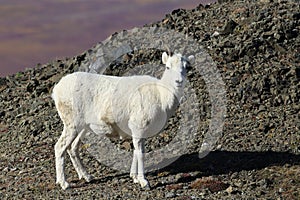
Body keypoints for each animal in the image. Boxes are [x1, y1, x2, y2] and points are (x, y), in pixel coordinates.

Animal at [52, 50, 193, 190]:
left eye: (186, 67)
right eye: (168, 67)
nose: (178, 81)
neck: (160, 95)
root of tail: (57, 89)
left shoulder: (139, 133)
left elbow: (136, 152)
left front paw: (134, 178)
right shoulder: (138, 129)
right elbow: (140, 153)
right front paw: (144, 182)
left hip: (82, 128)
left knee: (72, 148)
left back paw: (87, 177)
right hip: (72, 125)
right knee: (60, 147)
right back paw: (64, 184)